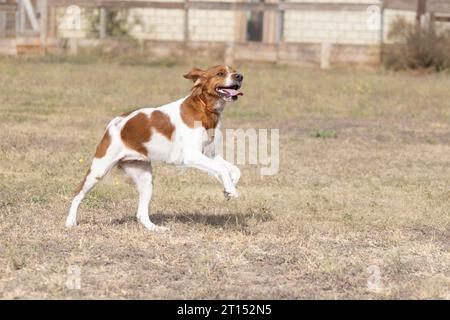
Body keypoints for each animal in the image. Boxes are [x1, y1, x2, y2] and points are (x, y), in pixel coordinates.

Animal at [65, 65, 244, 231]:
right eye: (220, 73)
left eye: (234, 70)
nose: (240, 76)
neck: (205, 108)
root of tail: (115, 122)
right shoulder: (192, 155)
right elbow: (222, 169)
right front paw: (231, 190)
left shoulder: (210, 154)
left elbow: (234, 170)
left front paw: (228, 189)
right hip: (99, 170)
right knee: (77, 194)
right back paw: (70, 222)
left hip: (145, 178)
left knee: (141, 214)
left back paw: (155, 228)